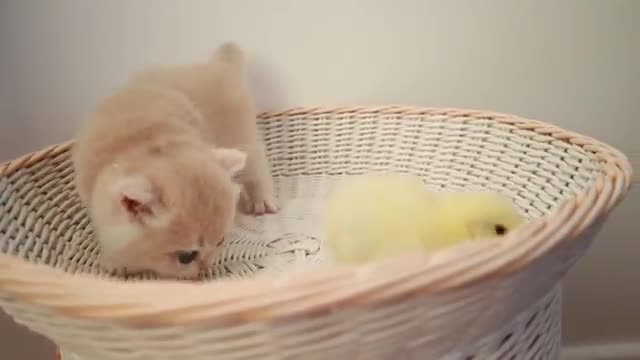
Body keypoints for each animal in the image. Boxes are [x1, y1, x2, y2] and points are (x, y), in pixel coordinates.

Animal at [73, 42, 278, 278]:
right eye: (186, 257)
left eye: (220, 242)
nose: (205, 270)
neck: (146, 143)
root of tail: (218, 65)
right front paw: (114, 261)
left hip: (242, 138)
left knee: (256, 168)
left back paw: (262, 200)